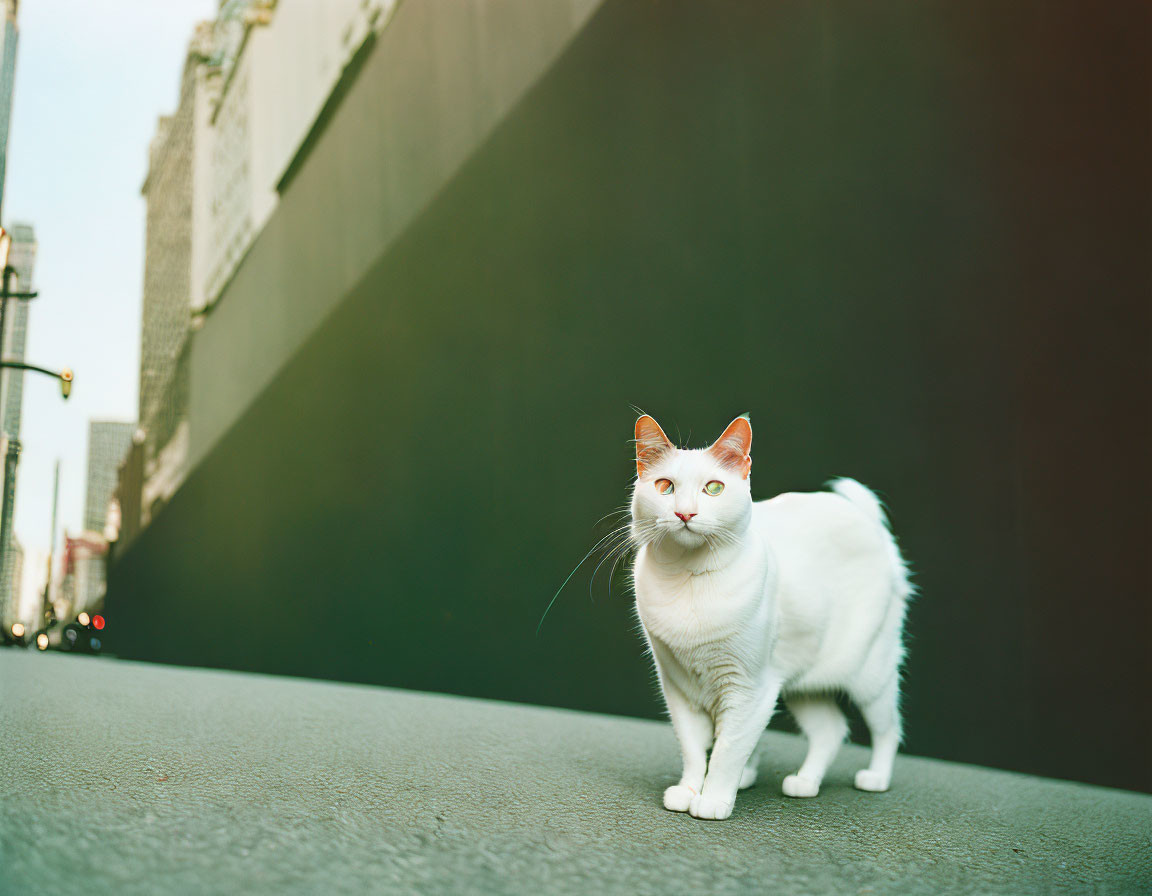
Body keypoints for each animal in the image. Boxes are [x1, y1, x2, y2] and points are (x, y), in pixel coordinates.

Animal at [631, 412, 907, 815]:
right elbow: (694, 749)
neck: (689, 579)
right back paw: (803, 783)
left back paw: (876, 778)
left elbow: (727, 750)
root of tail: (864, 519)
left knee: (888, 729)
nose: (685, 513)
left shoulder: (749, 689)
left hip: (870, 674)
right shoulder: (679, 688)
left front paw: (712, 800)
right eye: (665, 487)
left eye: (713, 489)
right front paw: (688, 790)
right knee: (830, 731)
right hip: (803, 685)